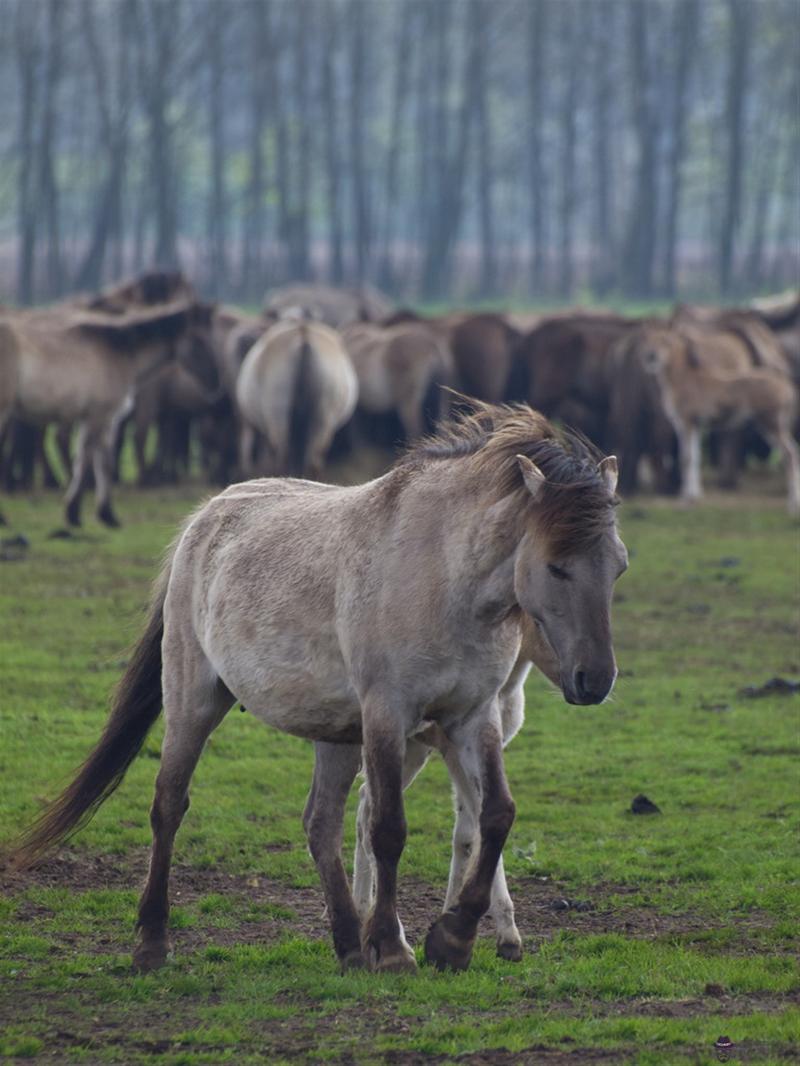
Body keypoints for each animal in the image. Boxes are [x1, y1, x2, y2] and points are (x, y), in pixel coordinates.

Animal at [6, 400, 631, 976]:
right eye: (555, 566)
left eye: (619, 566)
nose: (596, 679)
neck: (444, 575)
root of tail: (205, 517)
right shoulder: (388, 715)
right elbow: (389, 828)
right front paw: (395, 948)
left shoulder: (472, 717)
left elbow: (495, 816)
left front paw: (451, 940)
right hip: (193, 699)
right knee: (169, 806)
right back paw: (153, 943)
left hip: (337, 736)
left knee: (320, 823)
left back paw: (349, 944)